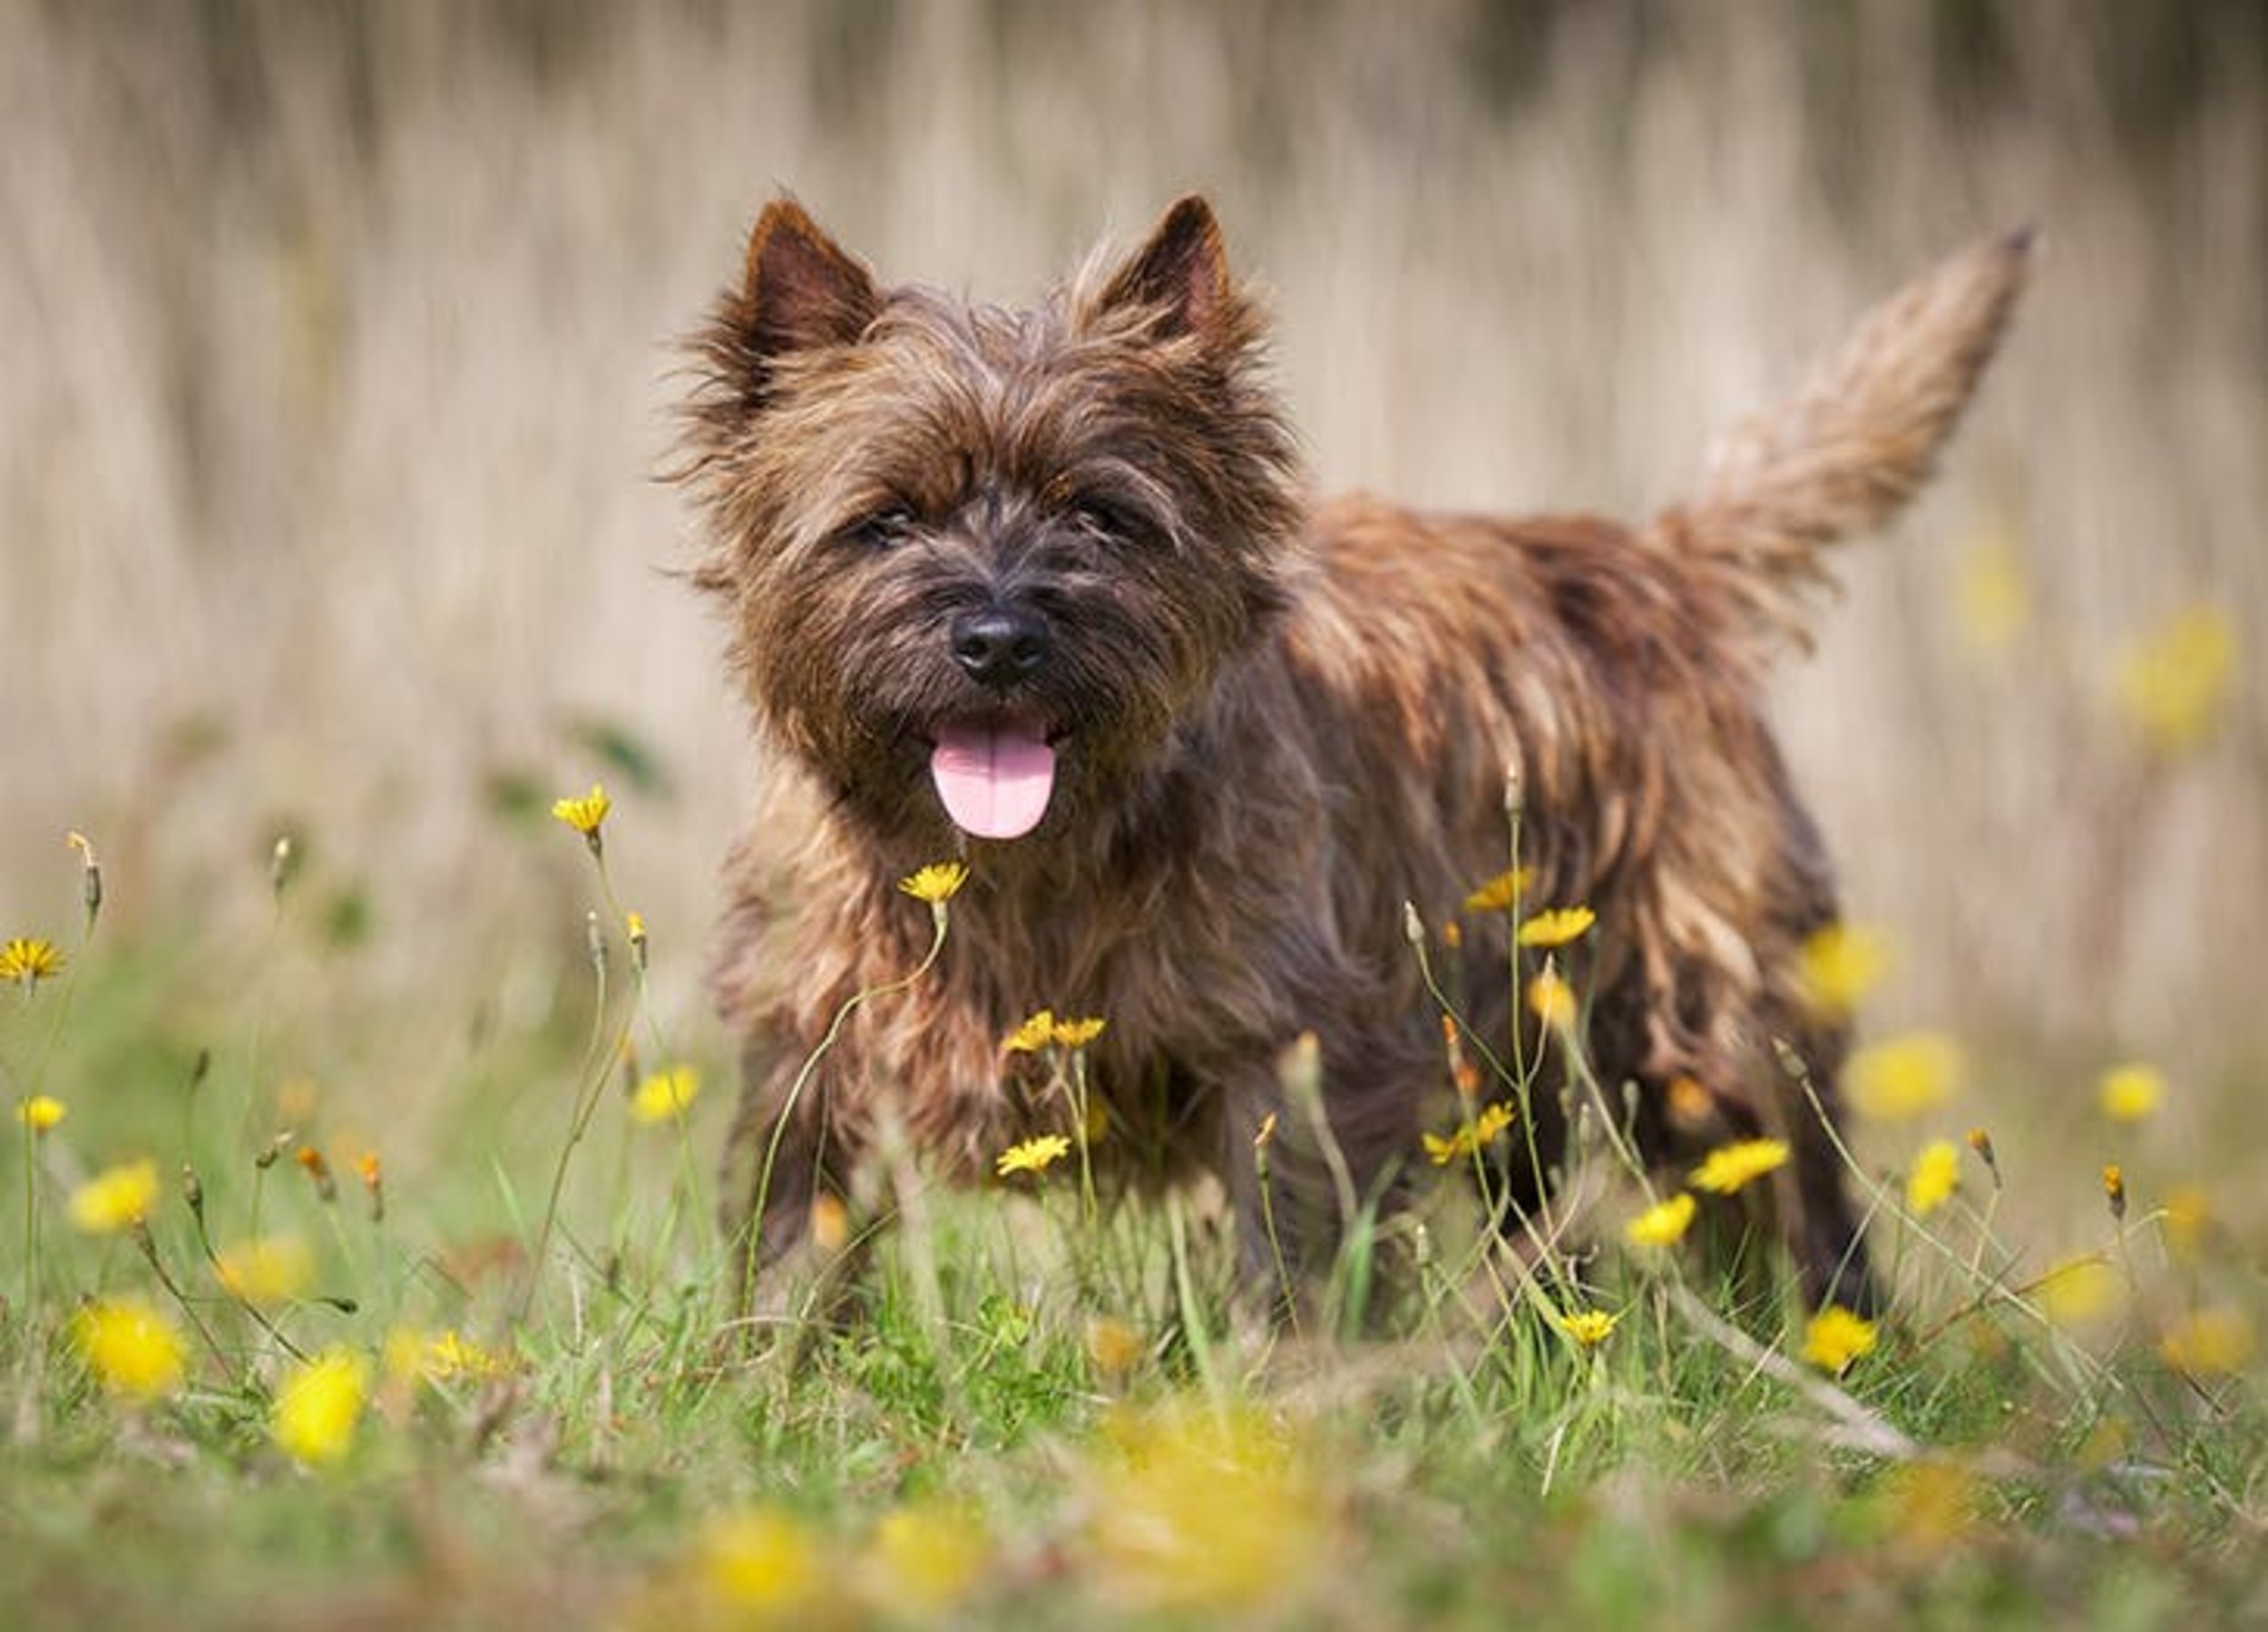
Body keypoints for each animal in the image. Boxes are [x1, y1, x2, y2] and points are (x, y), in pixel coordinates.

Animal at [667, 200, 2023, 1324]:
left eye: (1098, 514)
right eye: (886, 518)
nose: (999, 637)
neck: (1018, 867)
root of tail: (1660, 560)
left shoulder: (1292, 1048)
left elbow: (1290, 1248)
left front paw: (1275, 1404)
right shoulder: (810, 1034)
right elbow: (791, 1230)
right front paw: (772, 1373)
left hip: (1708, 1016)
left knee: (1790, 1191)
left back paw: (1834, 1349)